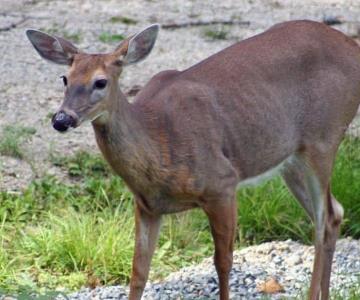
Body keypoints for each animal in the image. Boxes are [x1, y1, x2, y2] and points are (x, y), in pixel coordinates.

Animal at [26, 19, 360, 298]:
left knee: (323, 220)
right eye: (64, 78)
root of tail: (352, 46)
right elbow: (138, 272)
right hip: (290, 159)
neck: (159, 142)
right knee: (335, 212)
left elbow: (223, 261)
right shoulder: (147, 205)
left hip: (324, 137)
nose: (61, 119)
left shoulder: (222, 184)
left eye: (100, 82)